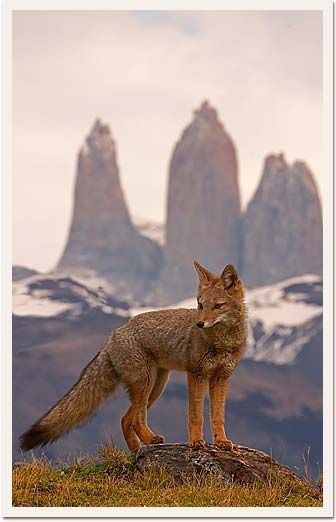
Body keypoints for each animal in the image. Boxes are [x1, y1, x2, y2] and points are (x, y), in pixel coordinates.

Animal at [20, 260, 247, 450]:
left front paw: (222, 441)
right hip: (146, 383)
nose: (199, 324)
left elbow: (218, 415)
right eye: (200, 305)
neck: (221, 343)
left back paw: (137, 450)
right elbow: (196, 414)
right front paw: (197, 442)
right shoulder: (197, 374)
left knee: (126, 418)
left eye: (217, 306)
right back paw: (149, 440)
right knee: (135, 418)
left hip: (156, 386)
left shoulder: (222, 377)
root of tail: (113, 335)